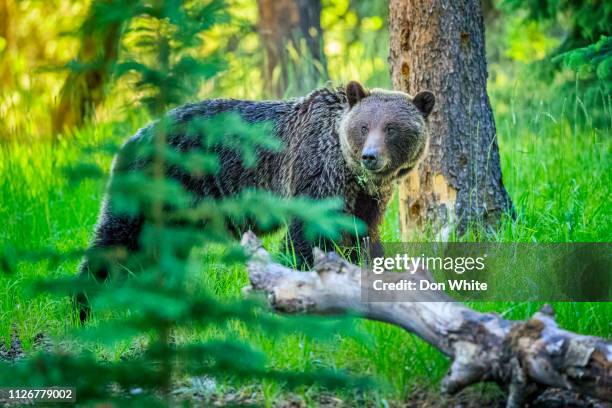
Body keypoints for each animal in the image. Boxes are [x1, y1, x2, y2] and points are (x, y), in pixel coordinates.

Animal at [76, 82, 432, 322]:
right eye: (364, 126)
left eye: (392, 128)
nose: (370, 156)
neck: (349, 171)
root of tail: (131, 139)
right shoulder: (314, 172)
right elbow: (305, 238)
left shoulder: (367, 200)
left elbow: (363, 237)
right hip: (154, 189)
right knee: (117, 241)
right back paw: (83, 306)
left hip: (178, 213)